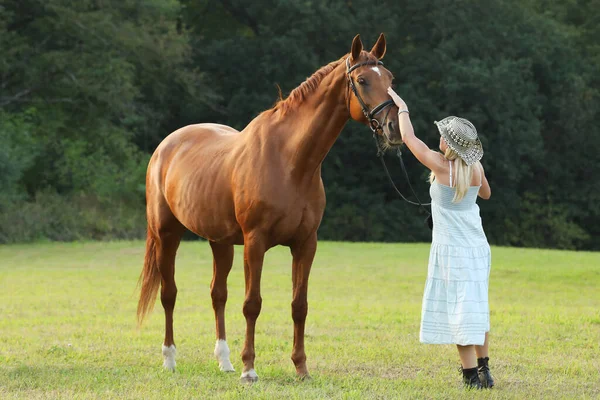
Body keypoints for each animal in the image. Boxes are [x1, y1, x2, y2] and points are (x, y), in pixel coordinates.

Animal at [134, 32, 400, 382]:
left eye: (391, 79)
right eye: (362, 80)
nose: (394, 129)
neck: (290, 161)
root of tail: (166, 146)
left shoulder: (306, 244)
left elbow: (299, 305)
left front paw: (301, 368)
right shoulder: (255, 242)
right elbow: (252, 303)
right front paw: (250, 369)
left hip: (220, 242)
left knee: (217, 294)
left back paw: (225, 361)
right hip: (167, 235)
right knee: (169, 293)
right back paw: (170, 359)